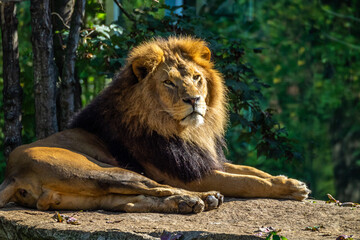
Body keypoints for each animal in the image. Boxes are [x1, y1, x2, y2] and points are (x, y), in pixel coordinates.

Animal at [0, 36, 310, 213]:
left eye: (196, 77)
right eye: (169, 82)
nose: (194, 99)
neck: (185, 131)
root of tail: (12, 173)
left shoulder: (204, 160)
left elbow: (252, 170)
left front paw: (289, 182)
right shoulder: (188, 174)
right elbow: (245, 181)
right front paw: (289, 189)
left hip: (90, 195)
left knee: (130, 202)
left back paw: (188, 204)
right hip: (107, 171)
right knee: (157, 188)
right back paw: (204, 198)